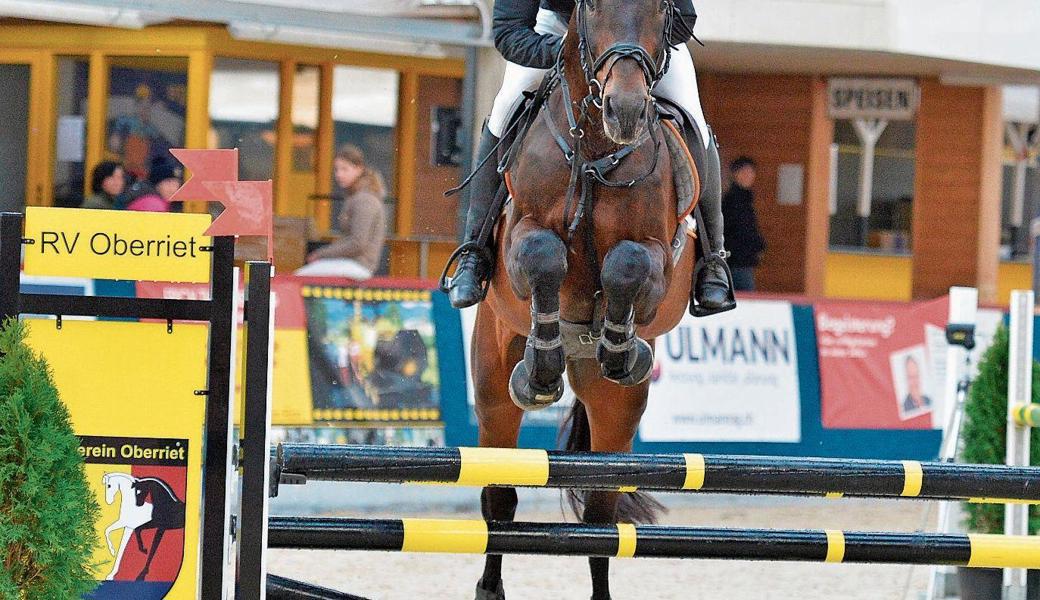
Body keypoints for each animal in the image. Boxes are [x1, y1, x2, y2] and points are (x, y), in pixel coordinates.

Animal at [470, 2, 707, 594]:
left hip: (615, 409)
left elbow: (628, 264)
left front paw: (621, 347)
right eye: (590, 8)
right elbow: (542, 255)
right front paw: (541, 366)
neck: (598, 151)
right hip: (492, 388)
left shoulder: (659, 262)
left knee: (602, 516)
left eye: (662, 10)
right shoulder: (521, 236)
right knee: (498, 498)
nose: (626, 109)